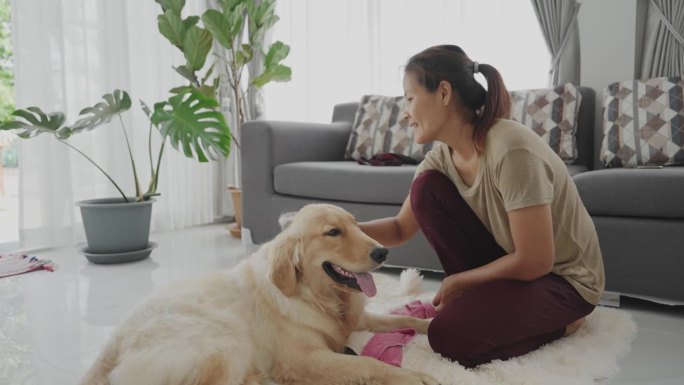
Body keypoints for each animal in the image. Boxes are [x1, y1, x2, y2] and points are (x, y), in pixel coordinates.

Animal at [80, 202, 440, 382]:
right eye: (333, 232)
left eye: (356, 223)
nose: (383, 252)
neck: (315, 296)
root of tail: (112, 343)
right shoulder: (305, 357)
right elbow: (367, 364)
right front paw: (413, 377)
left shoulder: (358, 318)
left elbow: (400, 320)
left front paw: (428, 323)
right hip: (225, 342)